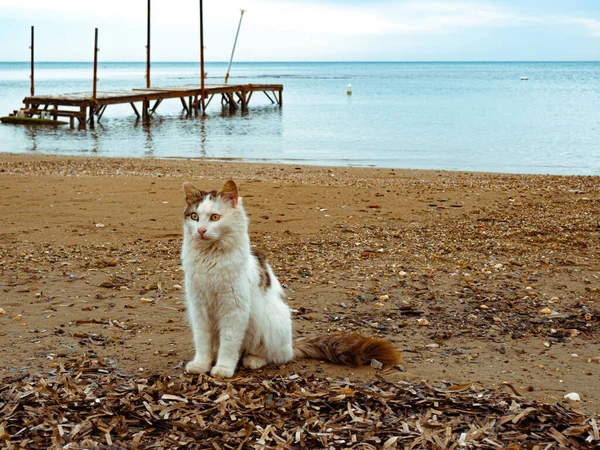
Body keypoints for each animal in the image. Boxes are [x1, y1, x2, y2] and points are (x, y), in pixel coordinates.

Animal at [180, 178, 400, 376]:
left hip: (272, 320)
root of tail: (292, 345)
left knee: (274, 355)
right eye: (194, 216)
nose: (201, 230)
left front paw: (223, 369)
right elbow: (203, 343)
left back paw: (253, 360)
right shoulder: (198, 308)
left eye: (215, 218)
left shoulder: (233, 308)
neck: (210, 259)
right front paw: (201, 365)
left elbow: (229, 343)